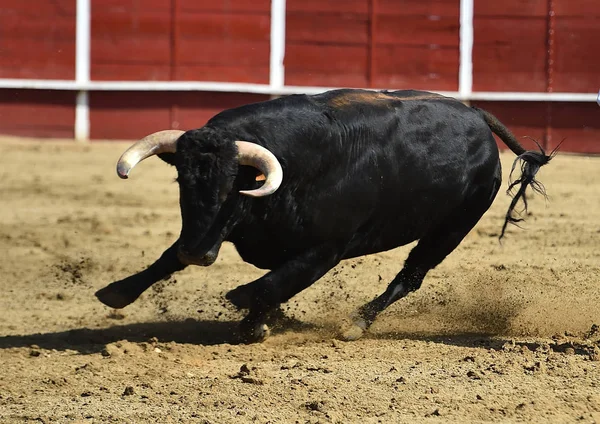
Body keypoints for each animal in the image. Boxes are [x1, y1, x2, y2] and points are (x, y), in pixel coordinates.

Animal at [95, 88, 552, 342]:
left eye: (231, 187)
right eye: (182, 183)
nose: (198, 255)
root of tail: (476, 115)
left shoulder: (326, 250)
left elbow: (267, 287)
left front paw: (252, 321)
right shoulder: (215, 230)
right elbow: (168, 256)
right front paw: (117, 292)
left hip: (451, 228)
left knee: (411, 276)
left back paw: (356, 324)